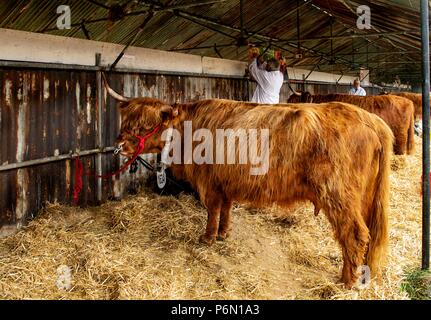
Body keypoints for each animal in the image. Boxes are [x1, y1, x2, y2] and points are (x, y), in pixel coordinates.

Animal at [110, 91, 392, 286]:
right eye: (126, 120)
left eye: (147, 124)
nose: (119, 146)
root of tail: (372, 120)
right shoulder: (225, 181)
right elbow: (225, 208)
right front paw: (223, 234)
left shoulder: (210, 181)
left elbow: (212, 209)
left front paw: (207, 238)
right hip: (366, 198)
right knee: (368, 233)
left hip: (339, 194)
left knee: (355, 234)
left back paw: (346, 281)